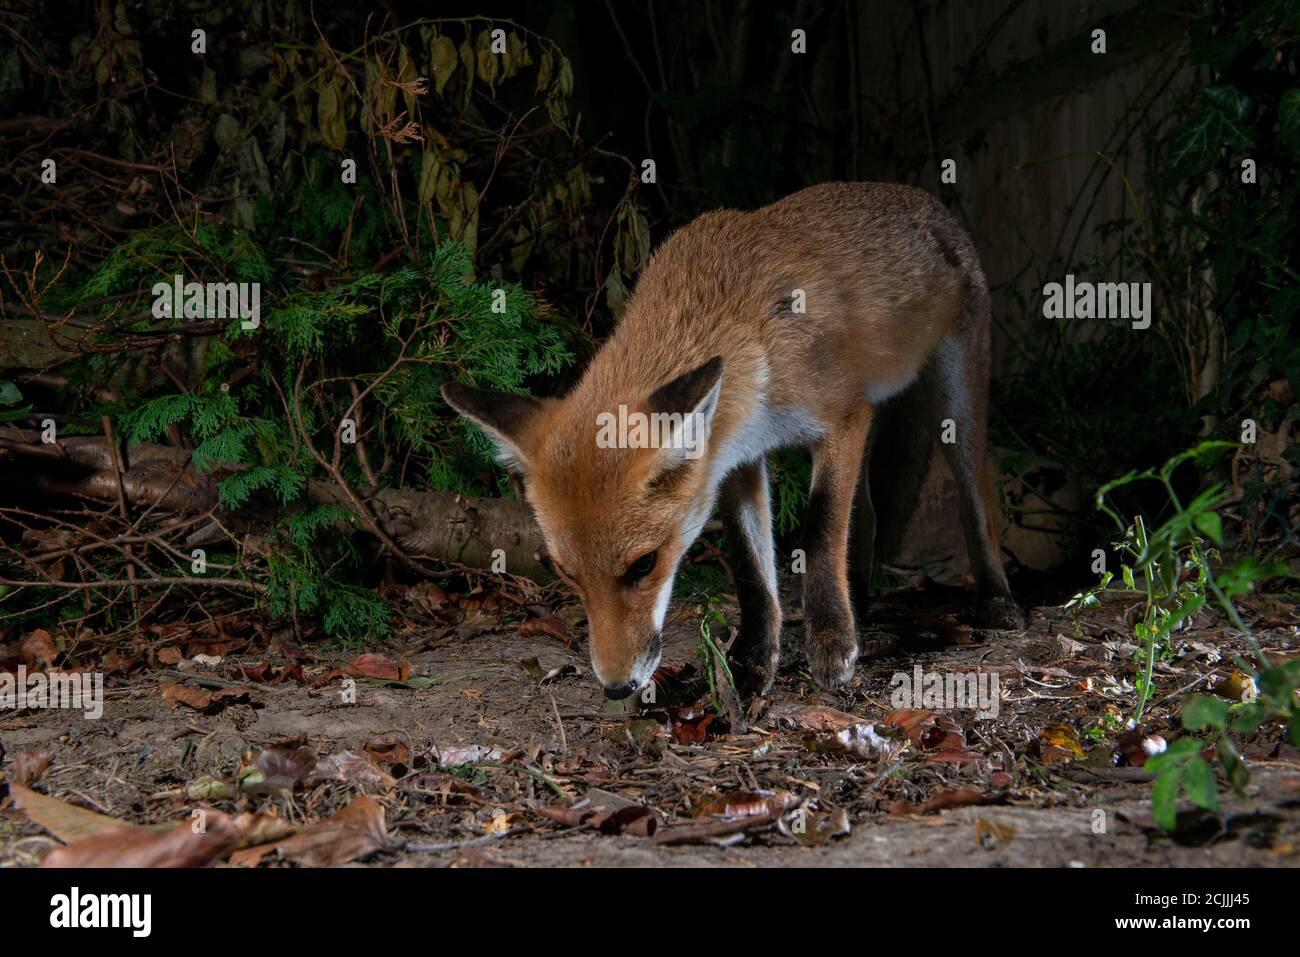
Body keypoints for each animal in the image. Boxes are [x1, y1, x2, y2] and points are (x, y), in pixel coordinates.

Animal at [441, 183, 1019, 696]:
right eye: (566, 573)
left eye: (643, 565)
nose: (617, 688)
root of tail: (924, 201)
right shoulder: (735, 456)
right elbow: (751, 569)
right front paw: (754, 663)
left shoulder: (842, 419)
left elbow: (820, 531)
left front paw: (830, 642)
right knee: (869, 516)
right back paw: (861, 601)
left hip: (955, 401)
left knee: (975, 500)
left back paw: (995, 599)